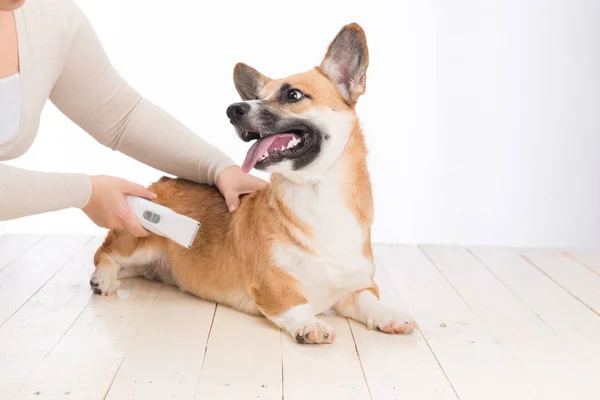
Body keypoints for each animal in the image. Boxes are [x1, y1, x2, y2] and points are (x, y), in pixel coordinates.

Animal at [91, 22, 414, 344]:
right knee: (105, 254)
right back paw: (103, 278)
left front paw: (391, 315)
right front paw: (311, 324)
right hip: (136, 243)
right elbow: (296, 304)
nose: (234, 109)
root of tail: (160, 182)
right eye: (256, 96)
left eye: (293, 95)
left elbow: (370, 301)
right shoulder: (272, 283)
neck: (318, 193)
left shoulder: (356, 289)